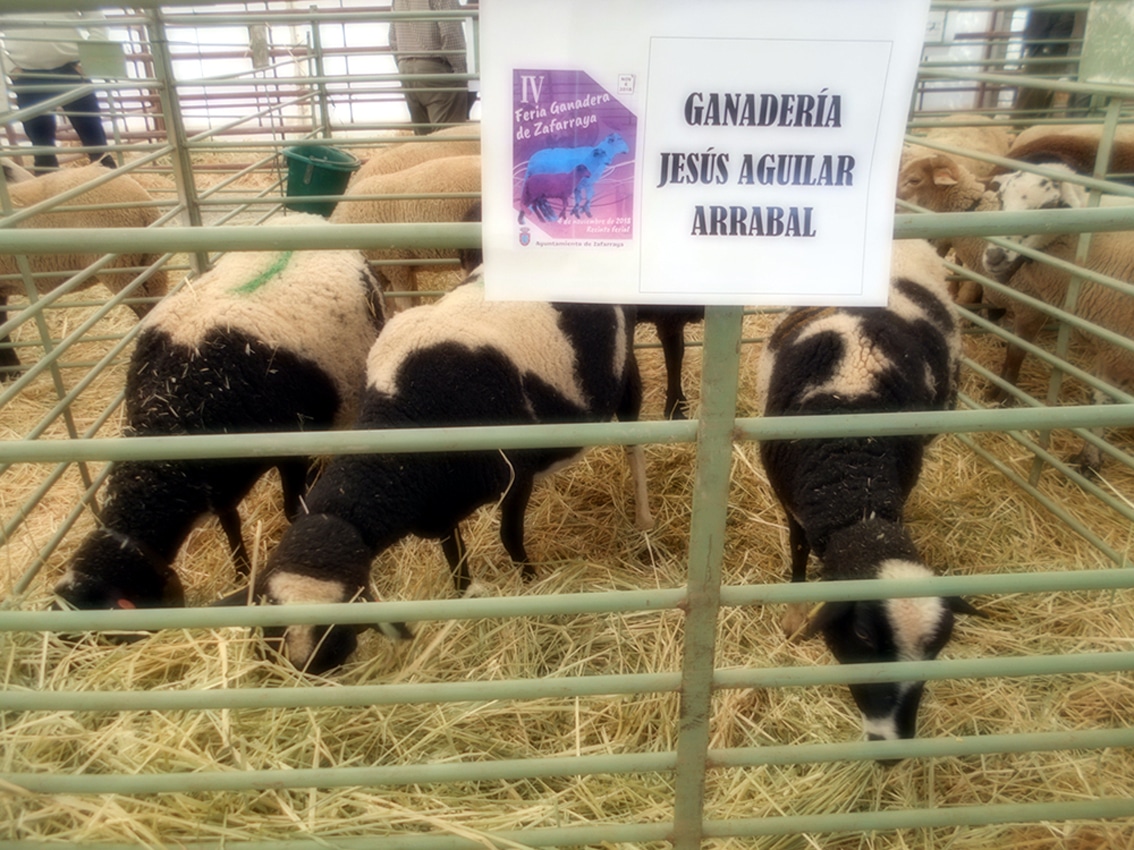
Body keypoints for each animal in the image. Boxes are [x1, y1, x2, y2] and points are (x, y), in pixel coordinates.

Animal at [54, 213, 385, 612]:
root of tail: (304, 216)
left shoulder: (291, 450)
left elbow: (292, 511)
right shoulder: (218, 479)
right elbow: (230, 522)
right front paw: (241, 571)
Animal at [234, 269, 653, 675]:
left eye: (336, 635)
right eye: (273, 635)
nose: (306, 680)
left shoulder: (516, 476)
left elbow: (511, 538)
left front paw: (531, 585)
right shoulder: (441, 502)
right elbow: (455, 556)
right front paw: (464, 600)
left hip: (623, 366)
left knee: (633, 439)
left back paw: (643, 523)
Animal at [752, 240, 975, 743]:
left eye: (936, 651)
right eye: (865, 639)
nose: (892, 743)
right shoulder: (789, 498)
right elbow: (797, 549)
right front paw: (793, 616)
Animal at [979, 164, 1129, 473]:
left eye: (1050, 206)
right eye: (1000, 198)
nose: (995, 256)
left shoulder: (1118, 350)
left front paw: (1089, 461)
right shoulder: (1110, 348)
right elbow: (1099, 399)